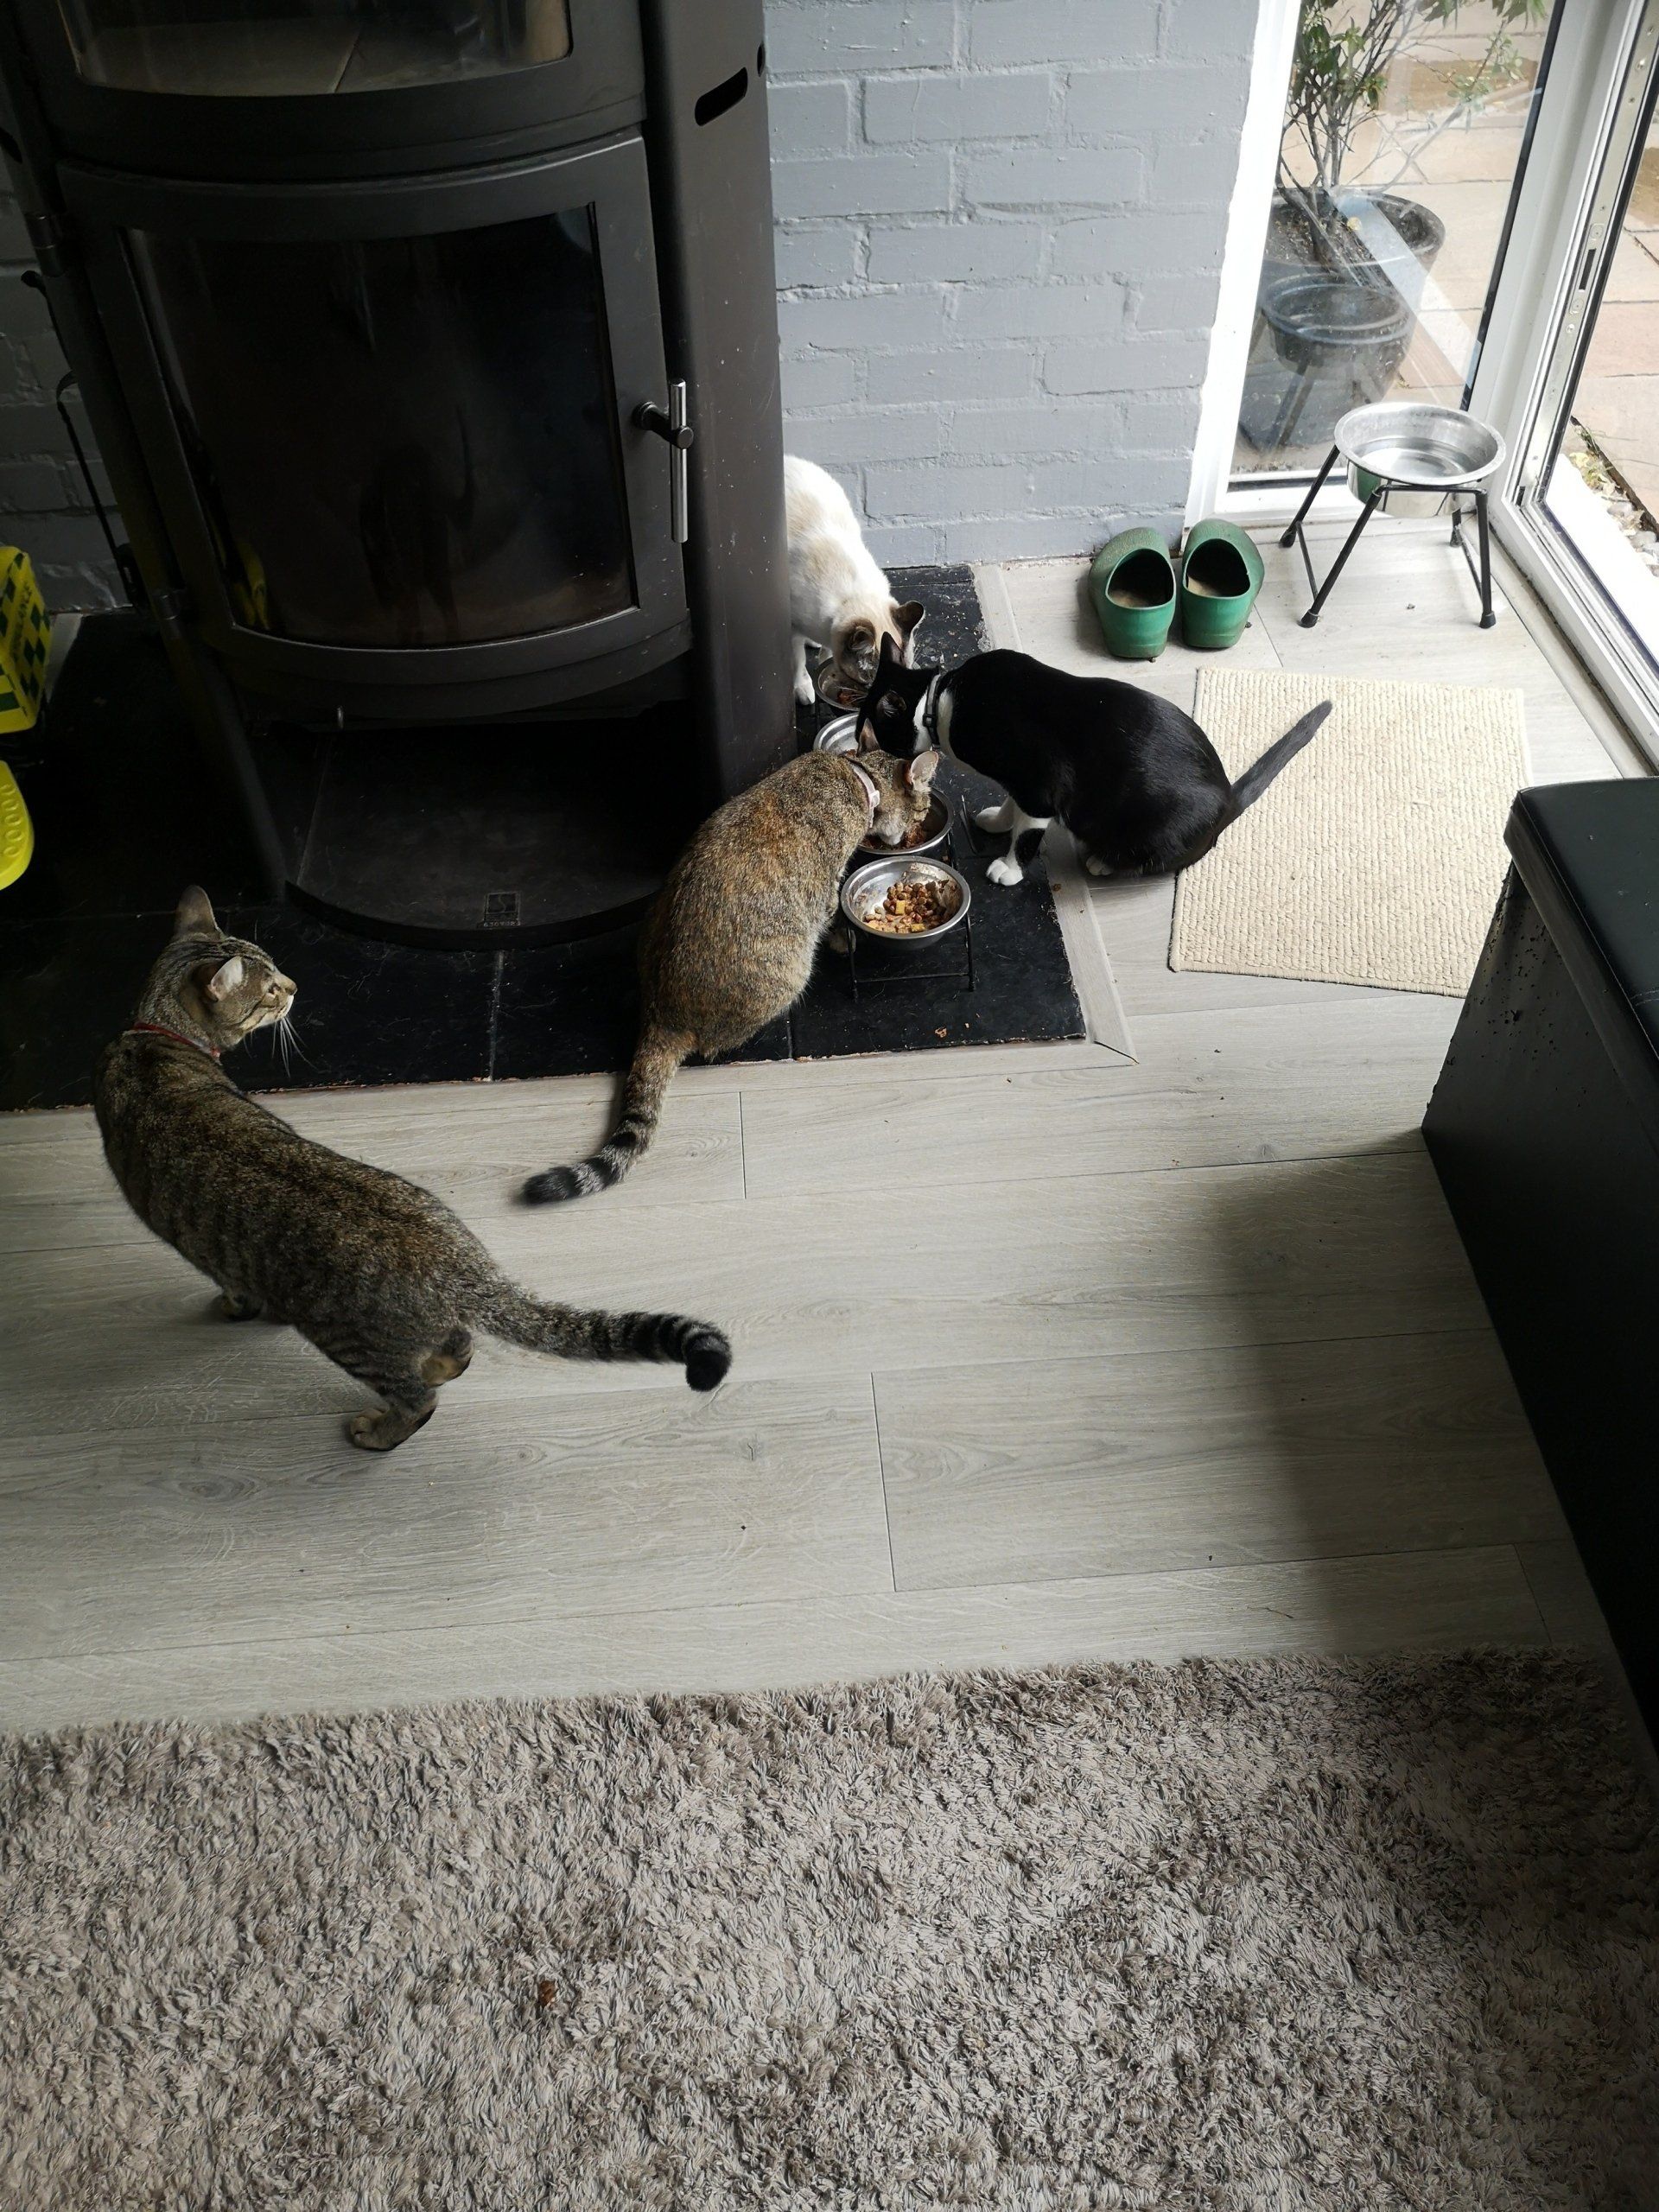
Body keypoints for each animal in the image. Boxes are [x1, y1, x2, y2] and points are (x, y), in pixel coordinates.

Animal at [94, 889, 732, 1450]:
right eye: (271, 987)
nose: (296, 988)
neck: (151, 1037)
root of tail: (457, 1262)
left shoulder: (205, 1252)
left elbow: (234, 1287)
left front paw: (232, 1310)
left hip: (354, 1343)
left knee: (418, 1400)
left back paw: (378, 1431)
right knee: (460, 1346)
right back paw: (437, 1367)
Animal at [525, 743, 939, 1203]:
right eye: (922, 810)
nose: (916, 828)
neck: (856, 773)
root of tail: (660, 1012)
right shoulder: (827, 888)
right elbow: (831, 917)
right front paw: (840, 939)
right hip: (787, 974)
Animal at [785, 454, 924, 707]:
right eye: (871, 680)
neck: (852, 596)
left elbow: (827, 653)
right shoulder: (792, 626)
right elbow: (798, 662)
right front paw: (803, 688)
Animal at [854, 635, 1332, 887]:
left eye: (865, 734)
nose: (855, 753)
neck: (941, 701)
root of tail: (1230, 796)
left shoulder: (1040, 785)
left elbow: (1027, 835)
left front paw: (1009, 867)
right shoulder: (1018, 783)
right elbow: (1011, 805)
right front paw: (998, 820)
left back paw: (1106, 862)